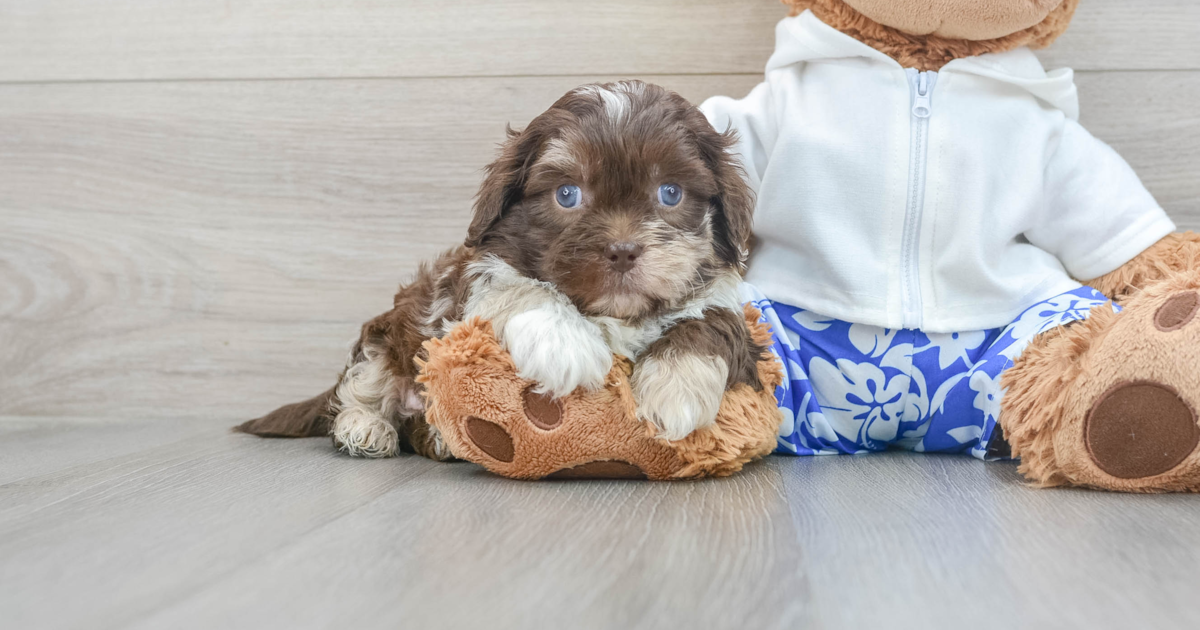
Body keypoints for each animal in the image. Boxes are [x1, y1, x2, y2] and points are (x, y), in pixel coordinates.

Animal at [240, 81, 763, 458]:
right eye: (567, 194)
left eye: (670, 192)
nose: (622, 250)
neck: (613, 314)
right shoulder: (471, 280)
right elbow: (522, 287)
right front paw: (564, 344)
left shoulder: (719, 295)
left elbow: (713, 324)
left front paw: (674, 393)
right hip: (385, 337)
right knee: (361, 385)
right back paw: (364, 427)